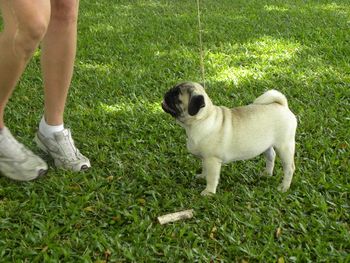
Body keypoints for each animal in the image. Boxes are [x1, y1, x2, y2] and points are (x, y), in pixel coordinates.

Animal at [161, 82, 296, 196]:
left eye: (176, 95)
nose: (166, 92)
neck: (203, 119)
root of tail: (282, 105)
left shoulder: (212, 160)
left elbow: (212, 177)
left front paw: (209, 192)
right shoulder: (205, 158)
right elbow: (205, 169)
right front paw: (202, 176)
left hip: (285, 146)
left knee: (289, 168)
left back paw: (283, 187)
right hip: (265, 145)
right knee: (271, 156)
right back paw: (266, 174)